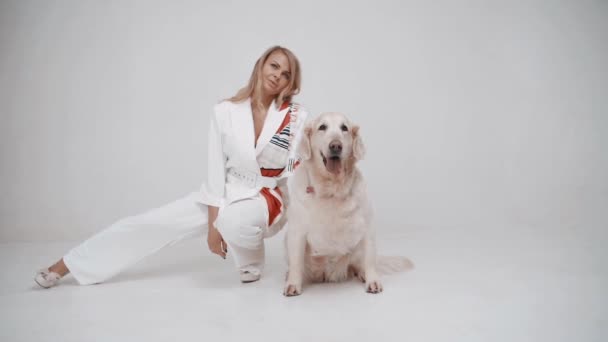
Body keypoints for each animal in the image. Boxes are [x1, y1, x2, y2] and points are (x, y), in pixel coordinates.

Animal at [284, 113, 414, 296]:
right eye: (322, 127)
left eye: (344, 128)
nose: (335, 146)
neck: (332, 188)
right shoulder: (297, 231)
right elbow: (296, 262)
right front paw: (293, 284)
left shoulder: (368, 227)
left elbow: (370, 261)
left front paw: (372, 280)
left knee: (360, 263)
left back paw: (362, 274)